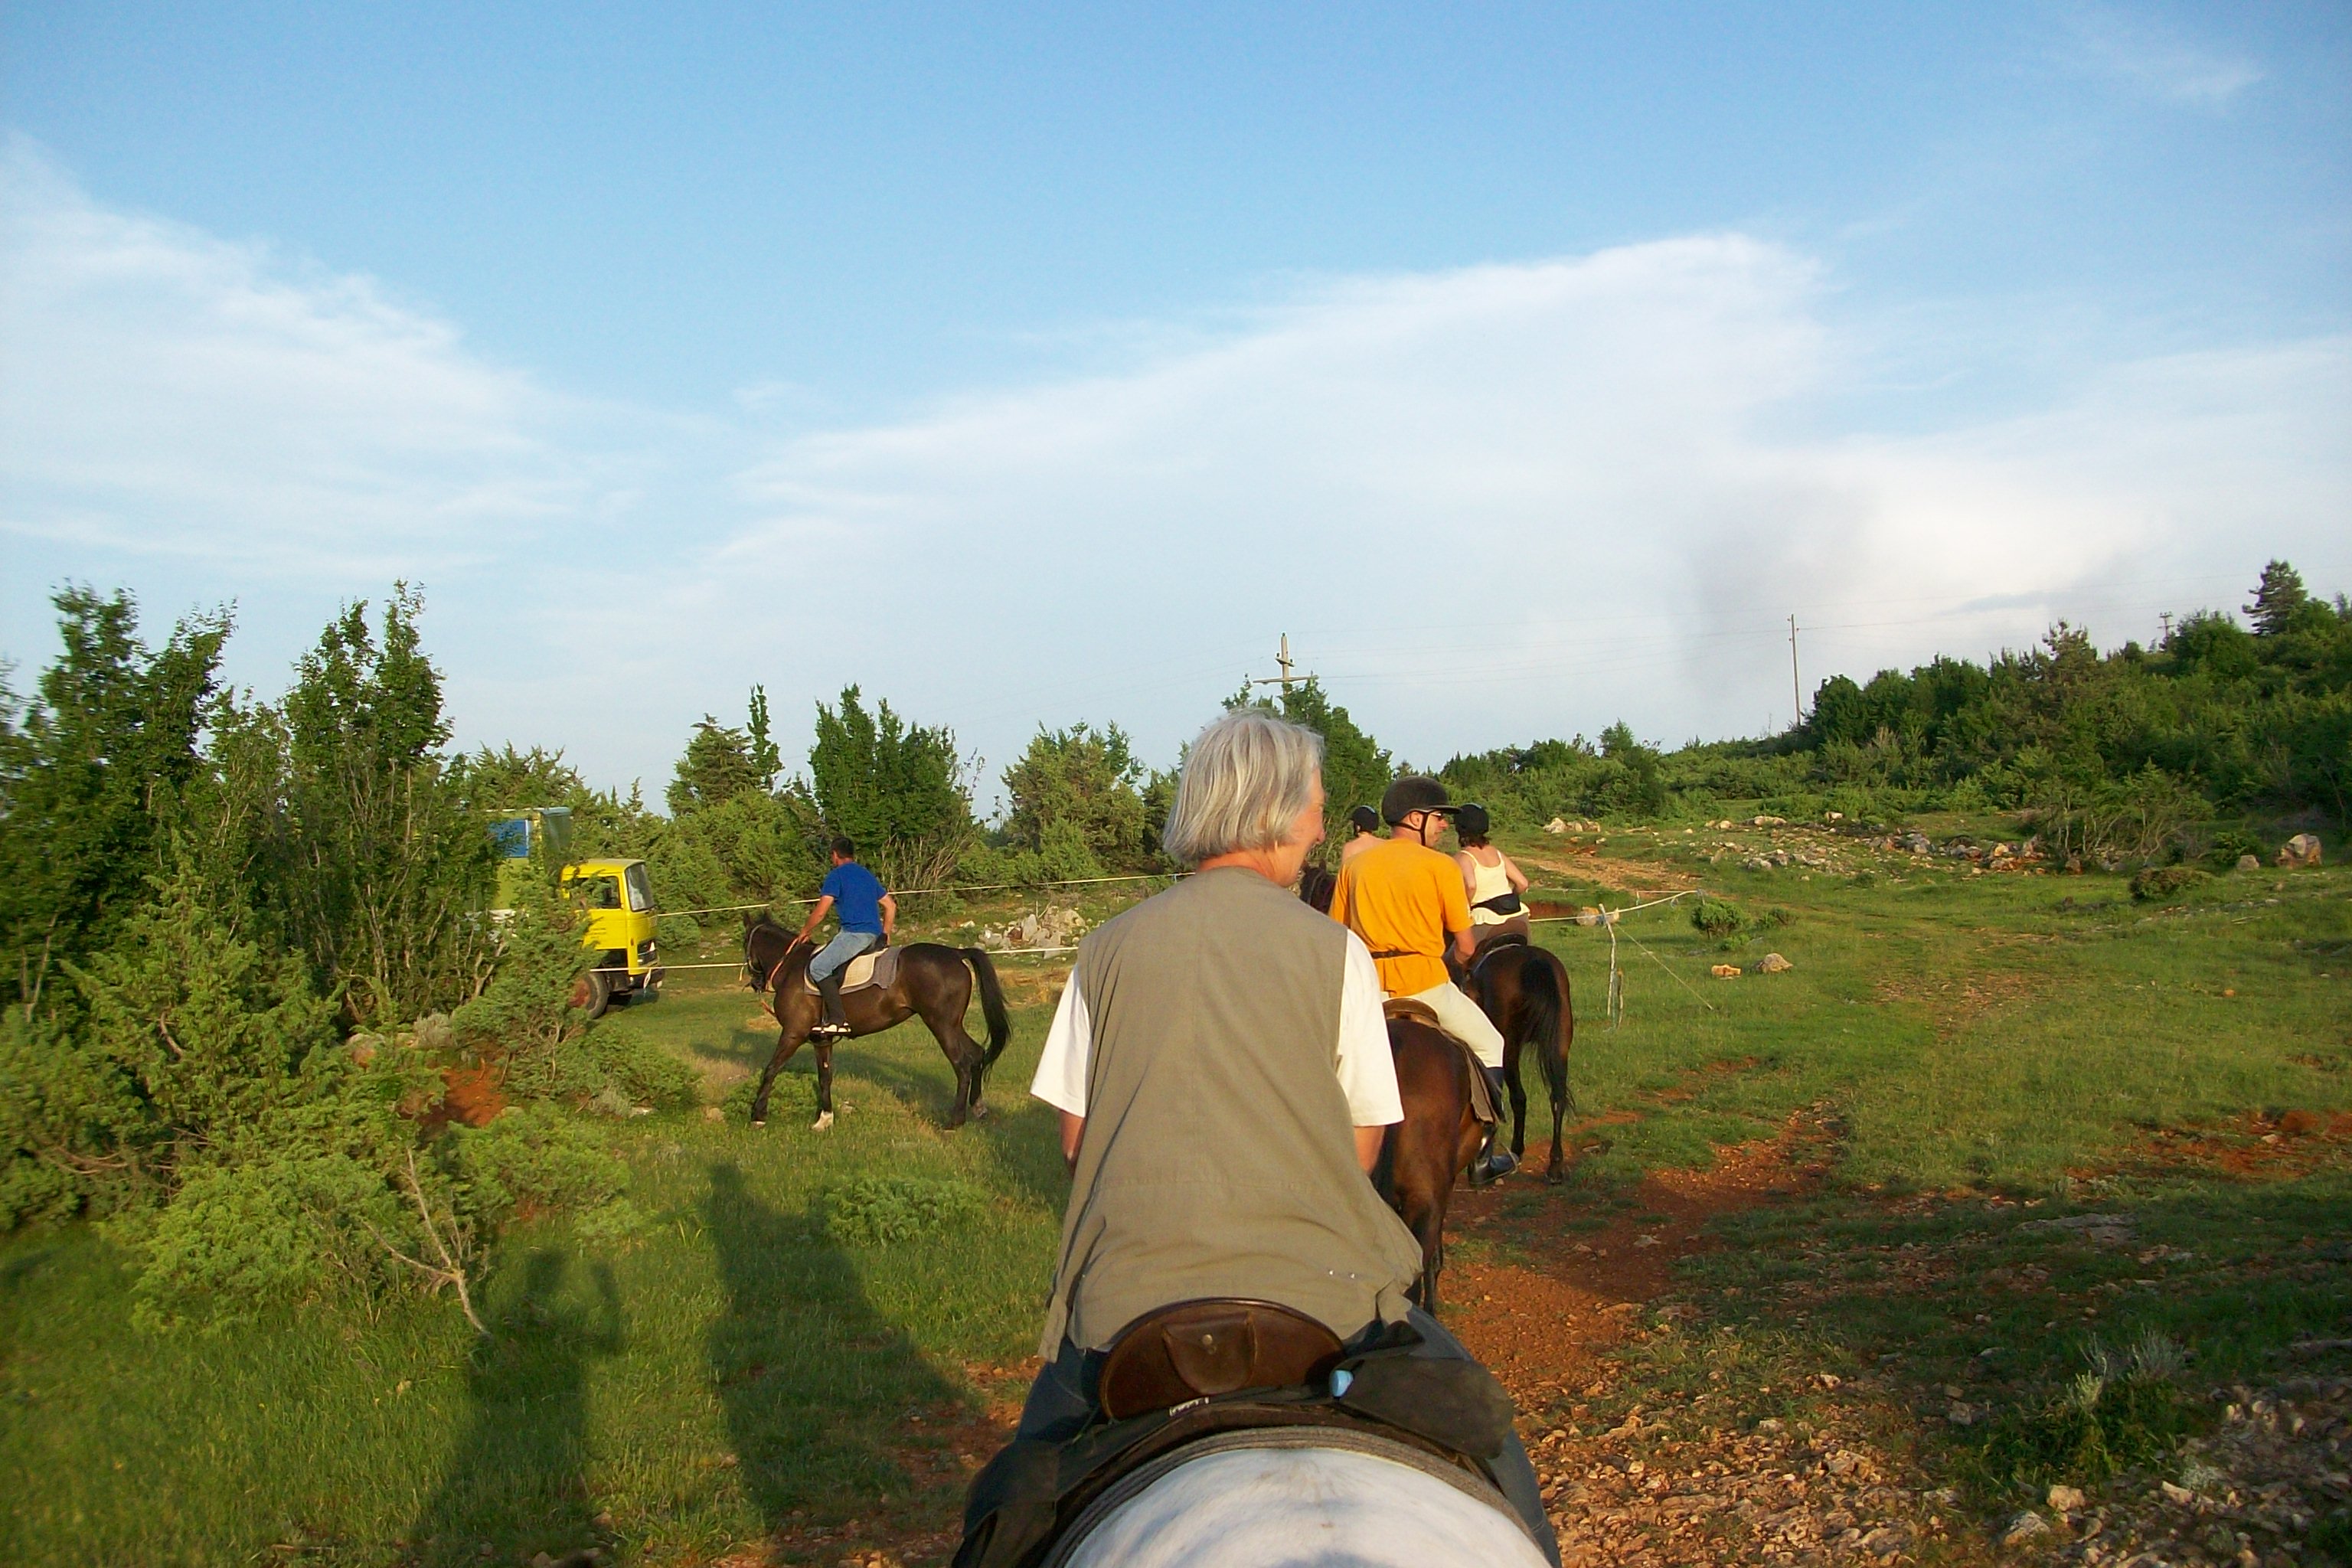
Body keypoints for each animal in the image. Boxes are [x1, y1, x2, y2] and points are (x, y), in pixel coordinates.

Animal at [740, 913, 1011, 1131]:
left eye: (745, 943)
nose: (755, 982)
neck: (791, 967)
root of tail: (956, 953)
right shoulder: (821, 1039)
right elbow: (825, 1077)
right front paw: (825, 1119)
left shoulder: (793, 1033)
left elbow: (771, 1069)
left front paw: (758, 1115)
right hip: (953, 1024)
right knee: (976, 1054)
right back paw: (978, 1107)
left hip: (941, 1025)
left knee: (961, 1064)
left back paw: (955, 1121)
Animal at [1462, 937, 1576, 1181]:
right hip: (1559, 1046)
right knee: (1557, 1098)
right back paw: (1555, 1165)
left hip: (1507, 1046)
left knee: (1517, 1097)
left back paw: (1510, 1153)